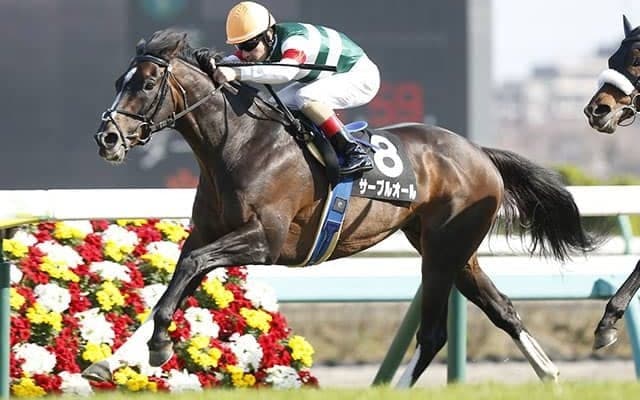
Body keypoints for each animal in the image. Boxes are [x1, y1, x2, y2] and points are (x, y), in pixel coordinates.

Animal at [85, 29, 597, 387]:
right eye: (118, 81)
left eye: (148, 83)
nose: (106, 138)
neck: (239, 144)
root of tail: (479, 152)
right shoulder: (210, 234)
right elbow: (172, 285)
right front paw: (111, 362)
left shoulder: (265, 240)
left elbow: (188, 267)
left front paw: (158, 347)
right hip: (455, 251)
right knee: (503, 310)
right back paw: (550, 376)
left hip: (441, 253)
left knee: (434, 334)